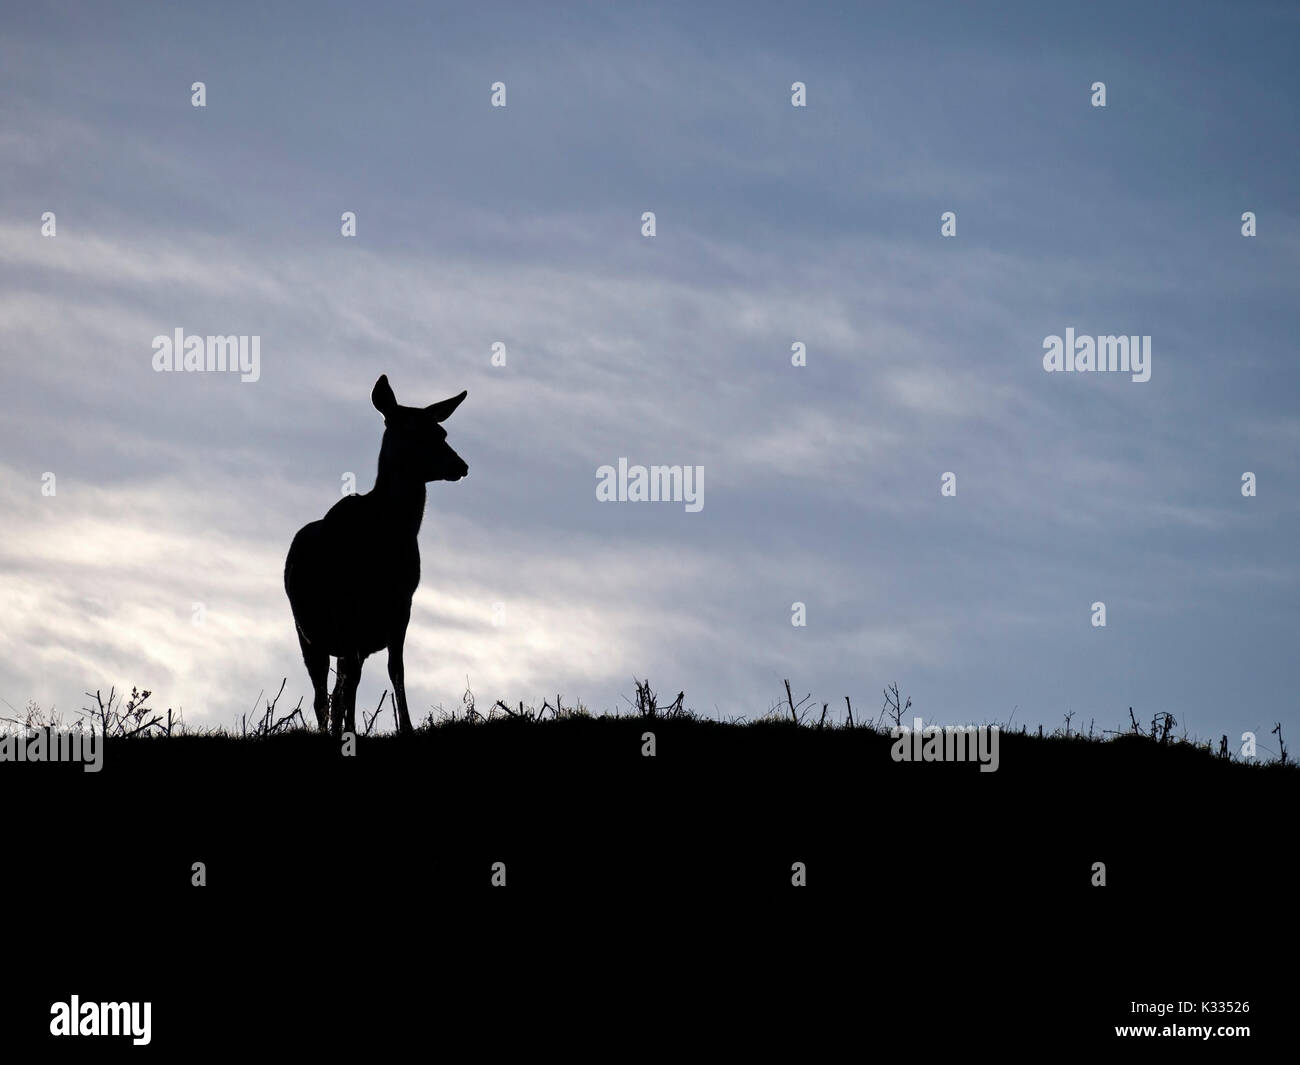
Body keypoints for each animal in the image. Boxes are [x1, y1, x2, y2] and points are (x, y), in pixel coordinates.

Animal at [282, 377, 470, 743]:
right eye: (412, 431)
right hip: (308, 633)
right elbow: (350, 684)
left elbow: (396, 669)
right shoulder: (346, 608)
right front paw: (351, 733)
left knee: (337, 688)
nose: (461, 465)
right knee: (321, 694)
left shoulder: (402, 606)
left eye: (441, 431)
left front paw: (406, 727)